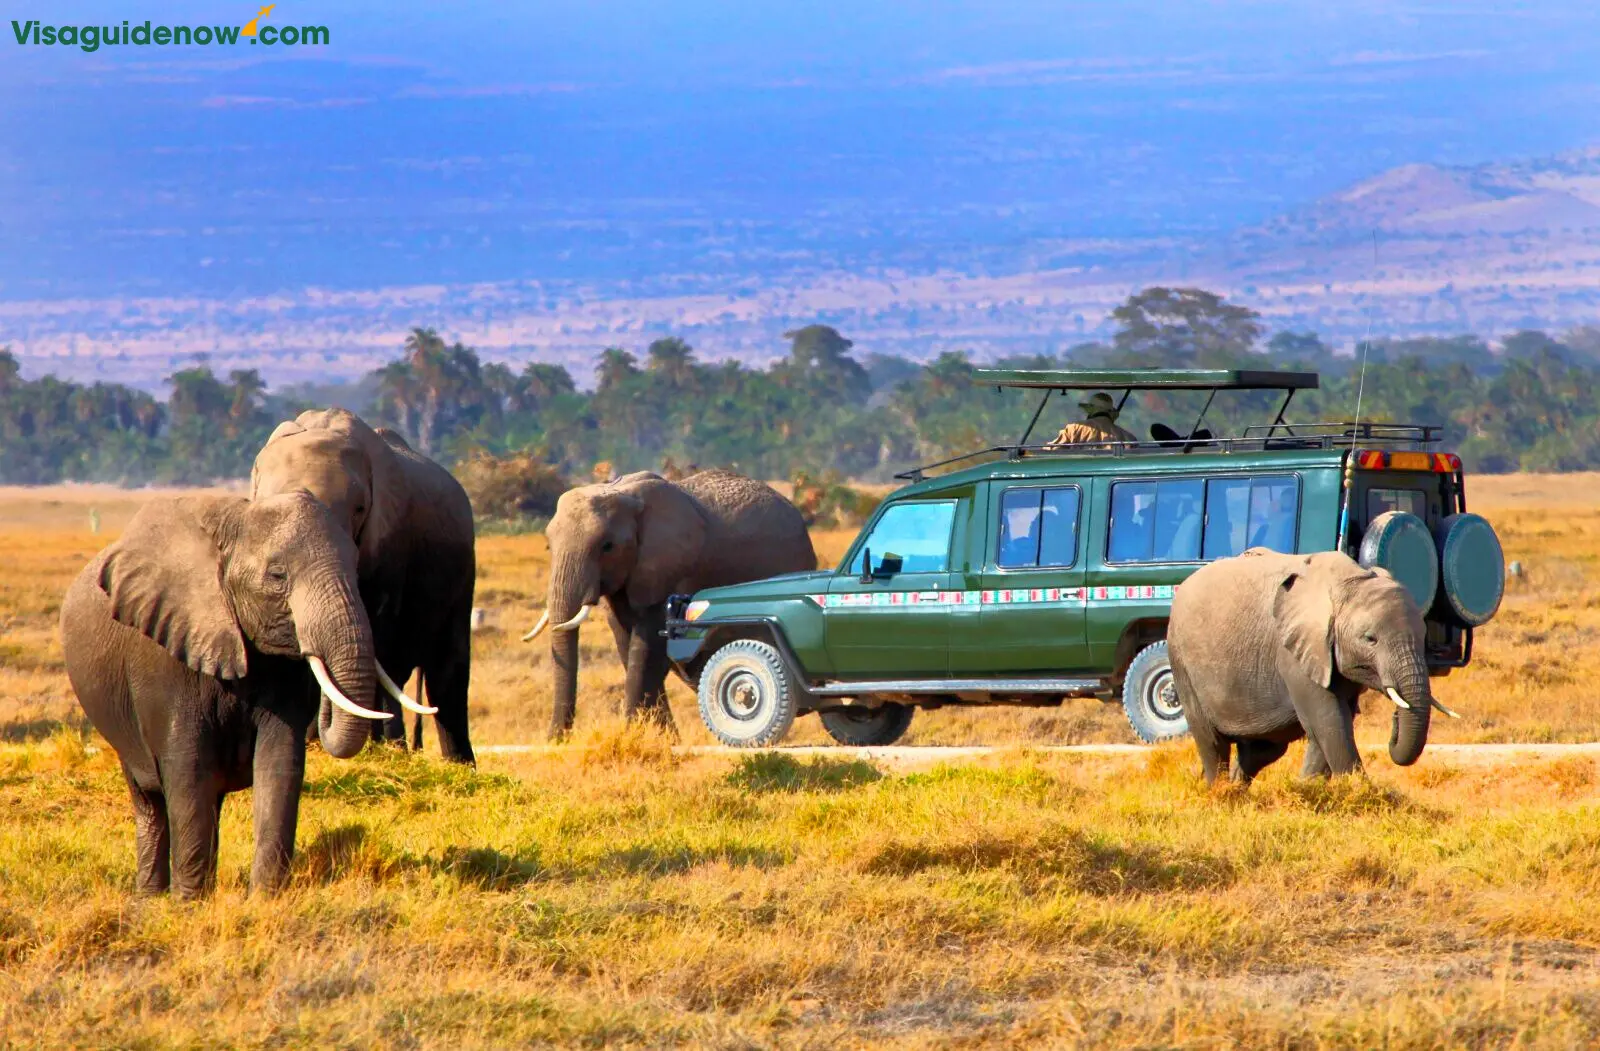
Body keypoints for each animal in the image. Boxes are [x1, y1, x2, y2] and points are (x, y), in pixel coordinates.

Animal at [60, 492, 406, 895]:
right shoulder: (164, 658)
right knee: (150, 800)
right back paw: (150, 898)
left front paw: (265, 897)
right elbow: (188, 767)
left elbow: (279, 763)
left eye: (356, 567)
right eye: (277, 575)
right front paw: (188, 903)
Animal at [1164, 543, 1440, 783]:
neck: (1350, 579)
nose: (1395, 720)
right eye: (1370, 639)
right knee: (1213, 744)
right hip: (1180, 659)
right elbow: (1328, 720)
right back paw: (1220, 793)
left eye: (1424, 636)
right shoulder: (1293, 652)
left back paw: (1236, 791)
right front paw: (1357, 791)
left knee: (1262, 751)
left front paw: (1307, 786)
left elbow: (1333, 723)